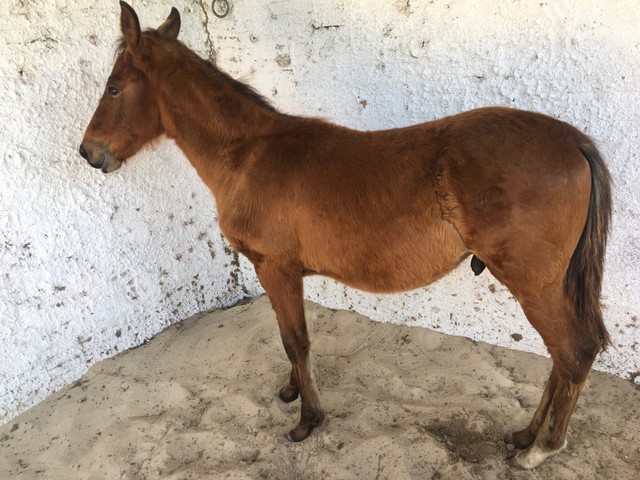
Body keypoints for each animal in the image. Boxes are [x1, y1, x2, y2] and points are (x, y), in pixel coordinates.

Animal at [81, 3, 616, 468]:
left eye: (113, 88)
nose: (89, 153)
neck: (249, 156)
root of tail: (573, 140)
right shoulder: (281, 273)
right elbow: (287, 338)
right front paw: (291, 391)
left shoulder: (275, 268)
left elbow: (296, 341)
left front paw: (306, 420)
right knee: (562, 356)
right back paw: (525, 434)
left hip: (535, 285)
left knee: (573, 353)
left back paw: (540, 449)